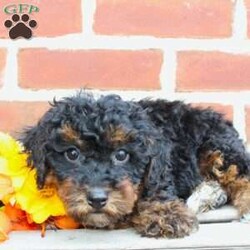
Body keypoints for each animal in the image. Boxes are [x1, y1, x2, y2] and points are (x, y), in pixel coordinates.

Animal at [20, 93, 250, 237]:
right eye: (72, 154)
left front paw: (165, 214)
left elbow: (158, 188)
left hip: (217, 146)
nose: (97, 199)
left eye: (122, 155)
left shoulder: (160, 168)